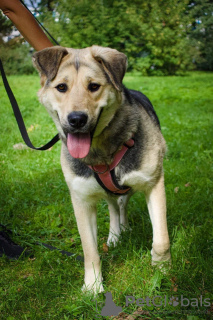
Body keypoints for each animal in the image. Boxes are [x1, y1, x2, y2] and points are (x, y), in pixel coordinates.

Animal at [32, 46, 171, 294]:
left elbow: (161, 239)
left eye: (94, 86)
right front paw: (93, 286)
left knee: (122, 203)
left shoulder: (154, 183)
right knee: (114, 208)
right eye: (61, 87)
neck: (102, 151)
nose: (77, 119)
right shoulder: (81, 200)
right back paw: (116, 235)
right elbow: (89, 250)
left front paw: (163, 272)